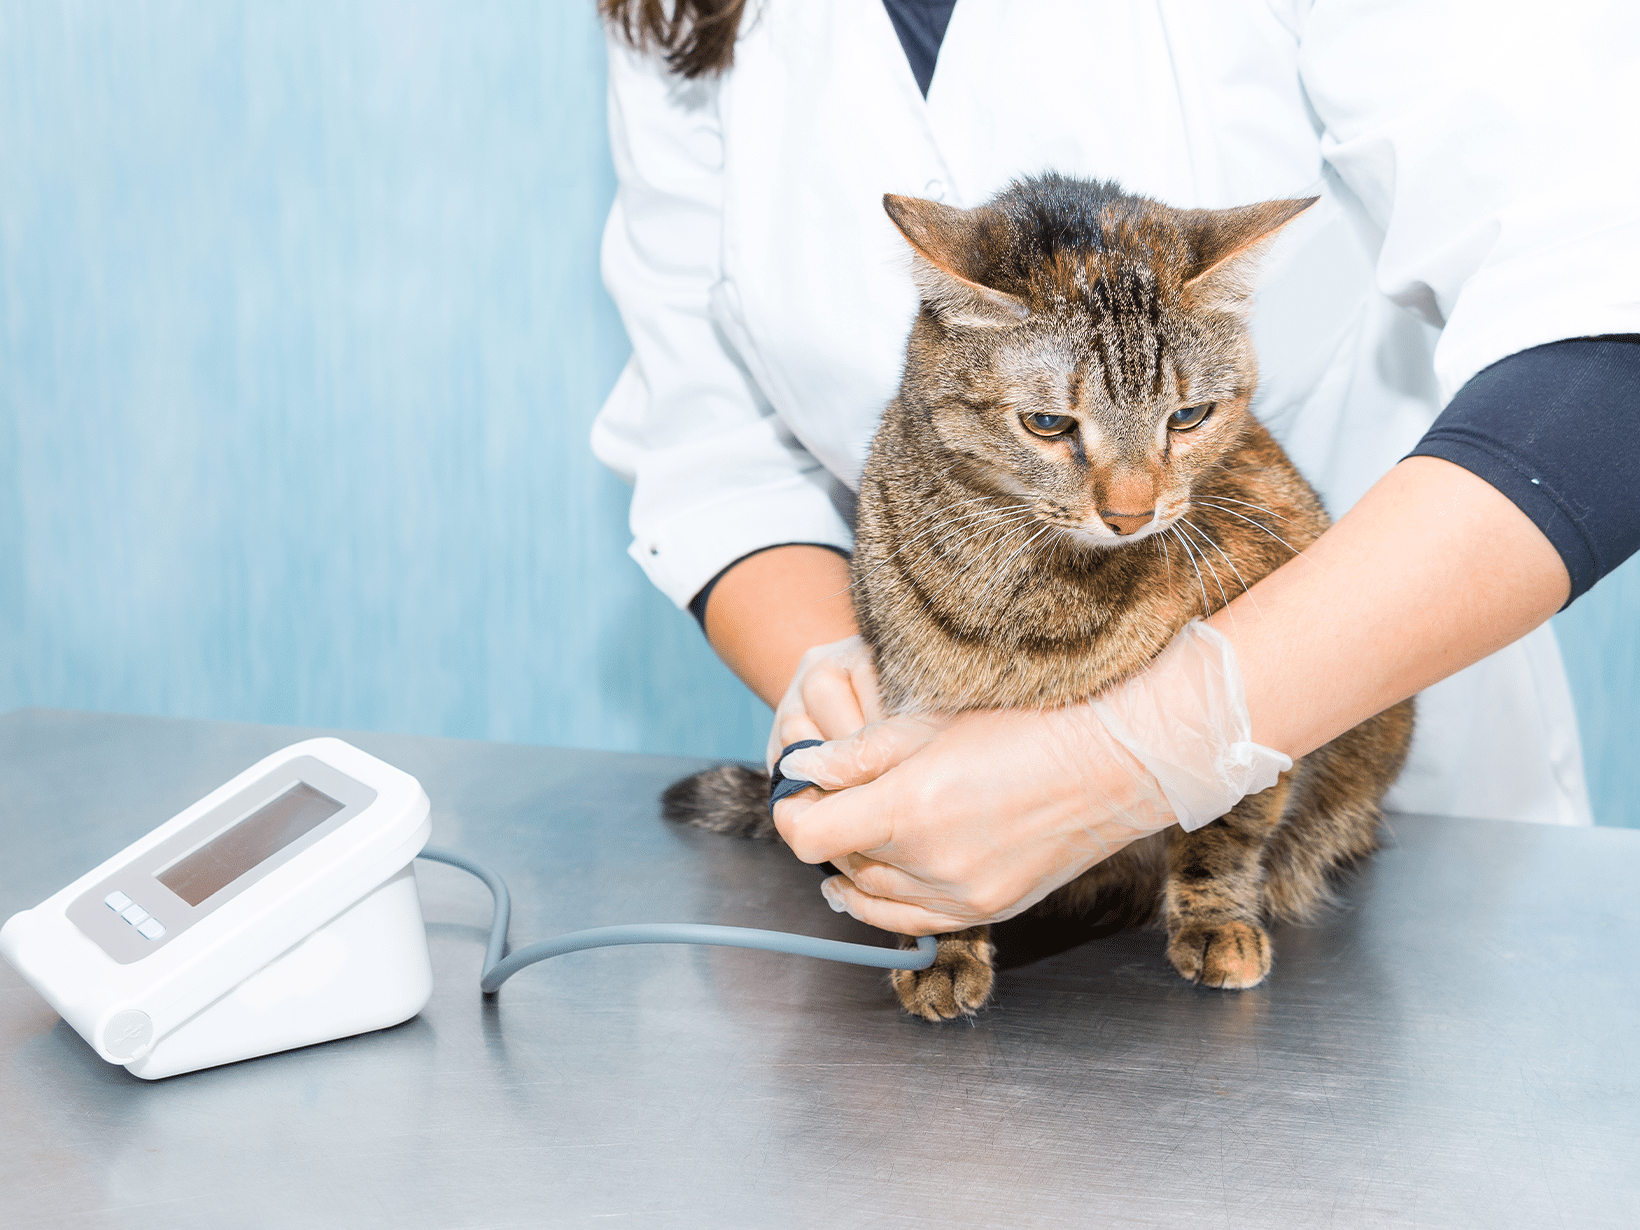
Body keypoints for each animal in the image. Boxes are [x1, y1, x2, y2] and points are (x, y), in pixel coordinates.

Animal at [662, 173, 1410, 1023]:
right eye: (1048, 423)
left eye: (1188, 417)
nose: (1131, 515)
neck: (1033, 590)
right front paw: (945, 948)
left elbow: (1226, 827)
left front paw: (1216, 918)